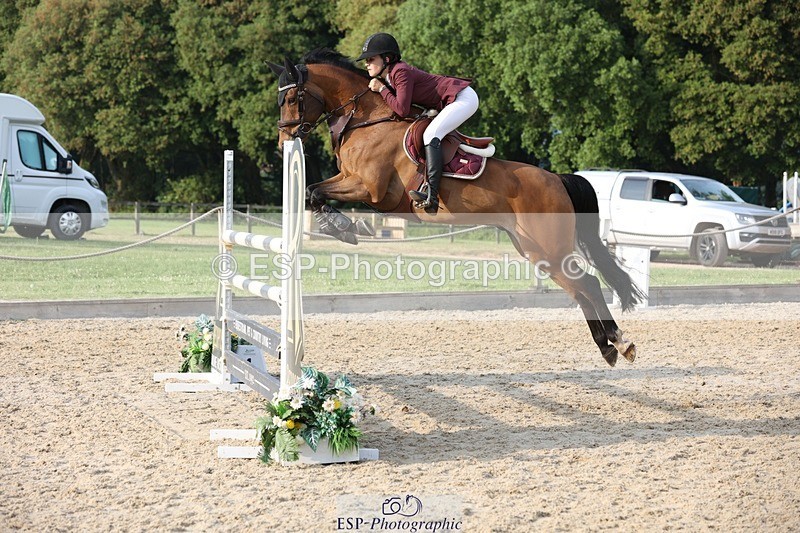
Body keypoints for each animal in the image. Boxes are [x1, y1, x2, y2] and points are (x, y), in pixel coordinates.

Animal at [267, 49, 643, 366]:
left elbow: (314, 192)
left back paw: (619, 341)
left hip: (549, 247)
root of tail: (557, 180)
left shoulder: (368, 189)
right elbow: (313, 192)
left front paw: (346, 228)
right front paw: (342, 228)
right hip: (534, 249)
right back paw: (608, 346)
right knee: (580, 289)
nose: (283, 145)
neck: (368, 119)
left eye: (291, 98)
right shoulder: (348, 178)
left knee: (588, 284)